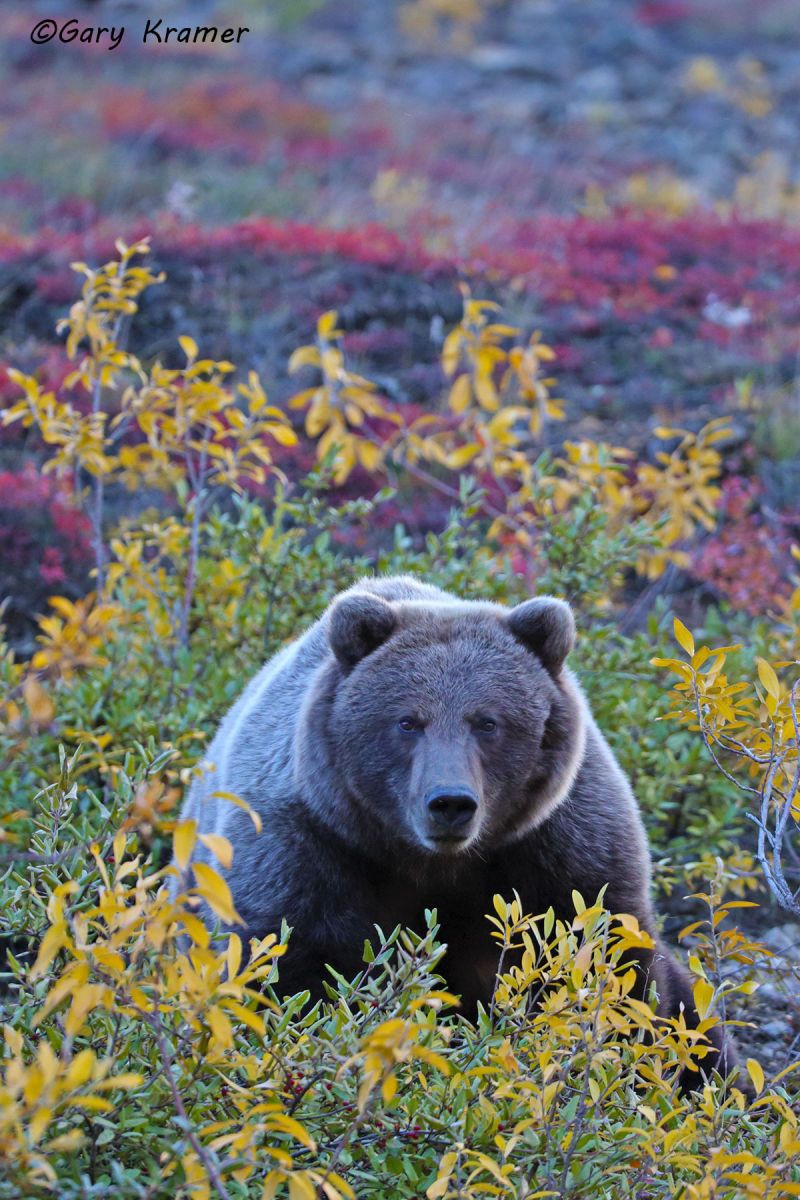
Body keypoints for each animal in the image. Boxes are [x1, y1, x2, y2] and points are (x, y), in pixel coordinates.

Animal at [172, 574, 729, 1084]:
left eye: (487, 722)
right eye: (406, 721)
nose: (451, 803)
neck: (434, 862)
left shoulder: (558, 848)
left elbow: (609, 964)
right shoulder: (307, 846)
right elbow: (286, 971)